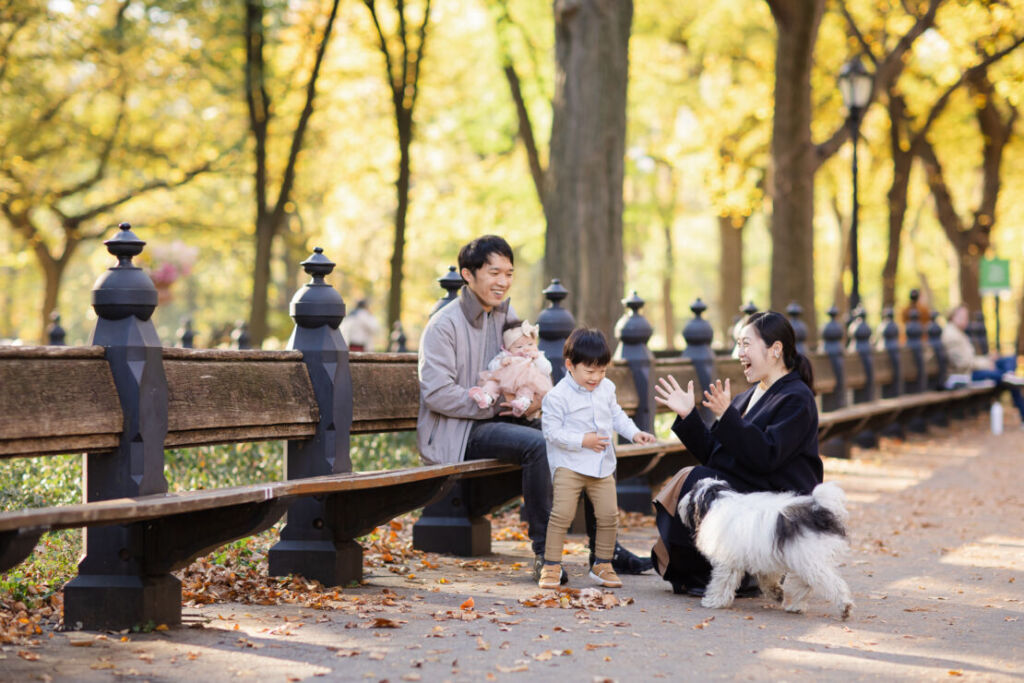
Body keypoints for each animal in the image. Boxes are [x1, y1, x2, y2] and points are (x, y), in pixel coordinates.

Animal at [679, 479, 856, 622]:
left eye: (692, 491)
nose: (680, 502)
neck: (719, 500)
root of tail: (819, 509)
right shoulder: (764, 556)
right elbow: (767, 578)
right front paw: (776, 592)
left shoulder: (728, 561)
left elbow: (722, 582)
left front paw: (714, 601)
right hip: (804, 557)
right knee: (806, 582)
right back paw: (796, 606)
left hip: (809, 558)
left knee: (832, 583)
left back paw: (845, 607)